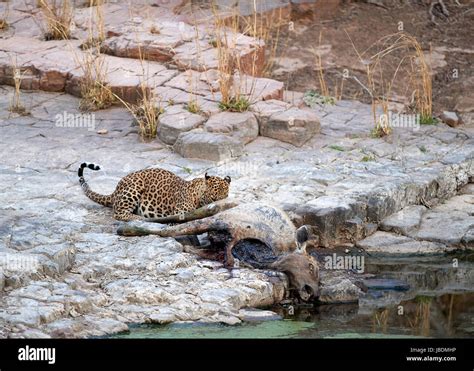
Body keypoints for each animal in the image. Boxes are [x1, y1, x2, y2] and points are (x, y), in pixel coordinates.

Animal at [78, 163, 231, 221]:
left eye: (226, 196)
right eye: (213, 198)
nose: (221, 207)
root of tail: (115, 191)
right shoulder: (179, 212)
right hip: (133, 188)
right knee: (120, 213)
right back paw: (142, 218)